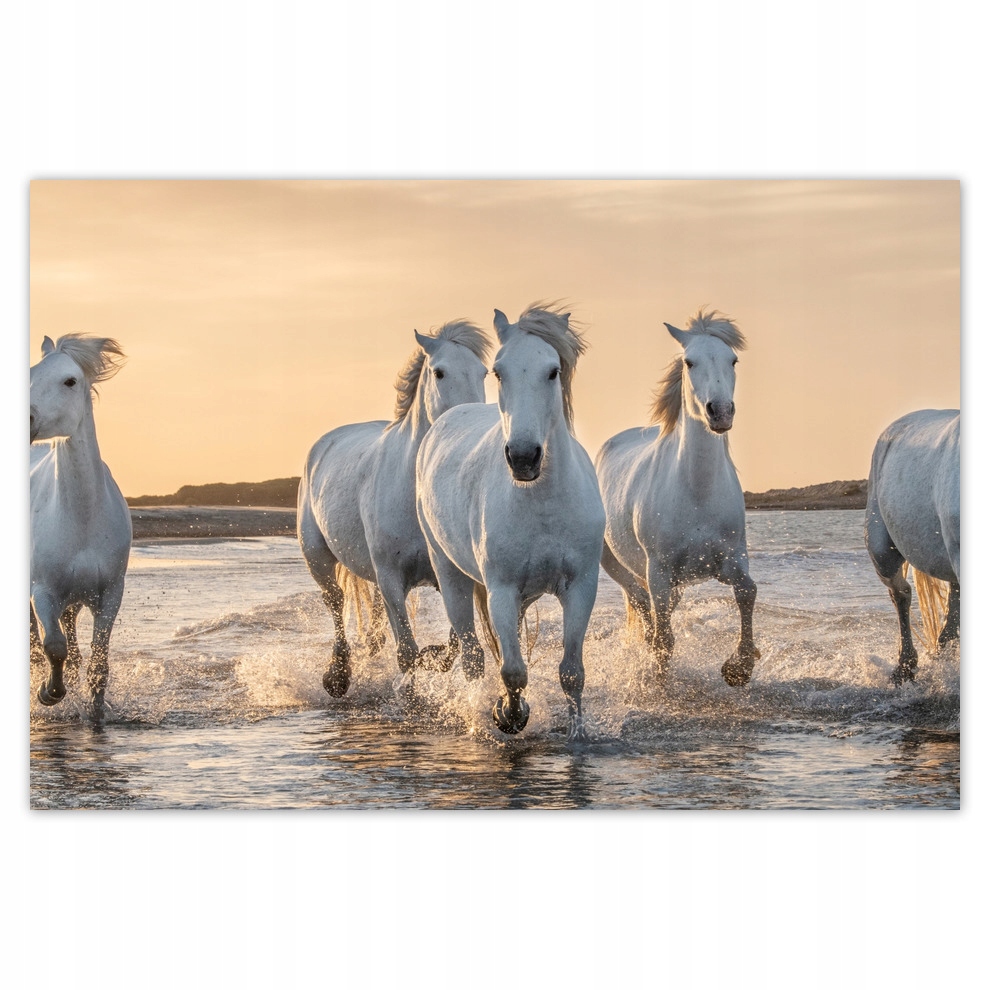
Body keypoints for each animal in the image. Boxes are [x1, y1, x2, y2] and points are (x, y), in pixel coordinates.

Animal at [30, 334, 132, 713]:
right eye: (31, 375)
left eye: (70, 381)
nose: (27, 418)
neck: (83, 518)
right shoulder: (43, 591)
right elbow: (53, 646)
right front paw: (49, 692)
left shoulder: (109, 593)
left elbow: (98, 664)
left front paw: (94, 711)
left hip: (74, 601)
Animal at [297, 320, 491, 696]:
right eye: (439, 372)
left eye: (483, 372)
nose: (469, 422)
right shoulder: (391, 578)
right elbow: (406, 652)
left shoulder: (449, 574)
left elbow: (453, 643)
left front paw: (433, 658)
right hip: (318, 558)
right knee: (336, 603)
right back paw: (337, 676)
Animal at [416, 304, 606, 740]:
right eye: (499, 372)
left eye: (553, 371)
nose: (522, 457)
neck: (543, 503)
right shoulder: (500, 589)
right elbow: (513, 670)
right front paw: (509, 715)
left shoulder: (581, 587)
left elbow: (572, 673)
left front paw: (577, 735)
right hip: (450, 574)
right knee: (472, 654)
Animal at [595, 309, 759, 686]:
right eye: (689, 361)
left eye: (733, 359)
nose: (720, 412)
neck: (697, 493)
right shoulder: (659, 570)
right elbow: (664, 639)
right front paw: (660, 682)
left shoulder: (732, 558)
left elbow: (748, 591)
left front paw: (739, 667)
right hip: (619, 565)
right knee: (642, 605)